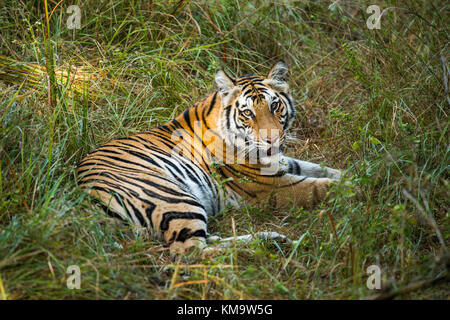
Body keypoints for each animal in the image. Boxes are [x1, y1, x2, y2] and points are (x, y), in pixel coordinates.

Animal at [76, 61, 342, 254]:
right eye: (248, 113)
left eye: (274, 106)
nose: (273, 139)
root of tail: (85, 201)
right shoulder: (269, 186)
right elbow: (320, 187)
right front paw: (352, 190)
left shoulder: (282, 164)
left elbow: (323, 169)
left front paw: (351, 173)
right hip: (174, 197)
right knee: (190, 252)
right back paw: (267, 244)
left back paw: (272, 238)